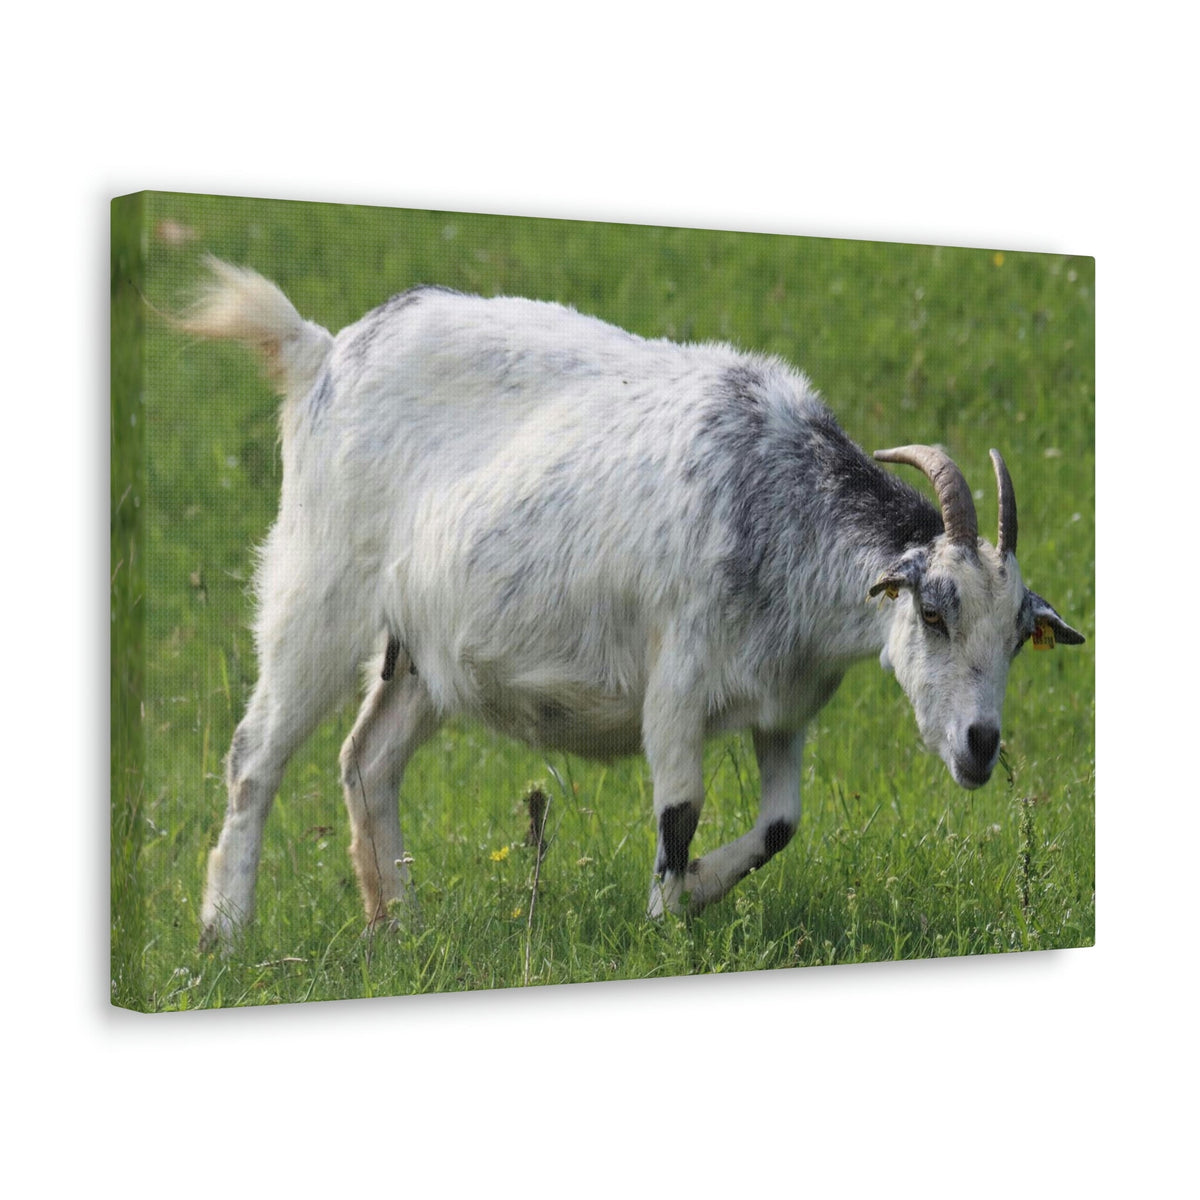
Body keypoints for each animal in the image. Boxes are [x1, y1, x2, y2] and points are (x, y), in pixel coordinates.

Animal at [179, 258, 1085, 950]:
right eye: (933, 614)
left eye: (1017, 639)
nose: (980, 747)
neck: (778, 501)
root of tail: (322, 350)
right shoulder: (677, 684)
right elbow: (679, 812)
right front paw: (665, 920)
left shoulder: (784, 707)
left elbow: (781, 824)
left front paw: (701, 888)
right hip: (318, 592)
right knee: (254, 757)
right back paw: (225, 934)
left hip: (422, 655)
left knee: (367, 761)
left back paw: (399, 928)